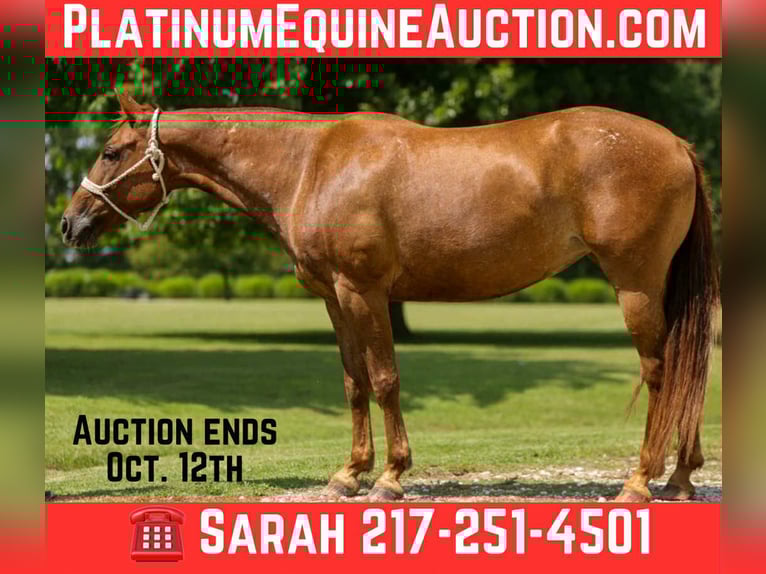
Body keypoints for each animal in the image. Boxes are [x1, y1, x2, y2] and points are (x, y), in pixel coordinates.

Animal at [61, 94, 719, 502]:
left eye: (112, 152)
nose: (70, 223)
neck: (309, 164)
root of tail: (677, 144)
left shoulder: (364, 291)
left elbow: (384, 380)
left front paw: (390, 476)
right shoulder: (334, 297)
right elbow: (353, 382)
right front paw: (348, 474)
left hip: (635, 283)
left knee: (662, 371)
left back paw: (640, 481)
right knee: (689, 369)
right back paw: (682, 478)